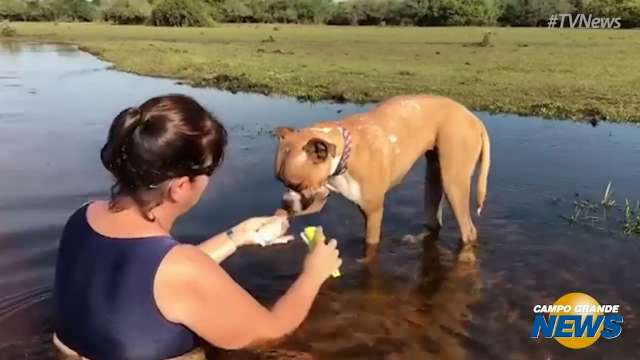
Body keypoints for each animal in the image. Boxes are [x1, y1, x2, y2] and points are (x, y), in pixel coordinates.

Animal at [274, 95, 490, 258]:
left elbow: (370, 244)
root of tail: (474, 119)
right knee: (434, 220)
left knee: (468, 230)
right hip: (435, 178)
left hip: (454, 184)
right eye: (280, 181)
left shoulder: (374, 211)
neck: (345, 153)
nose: (284, 203)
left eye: (297, 184)